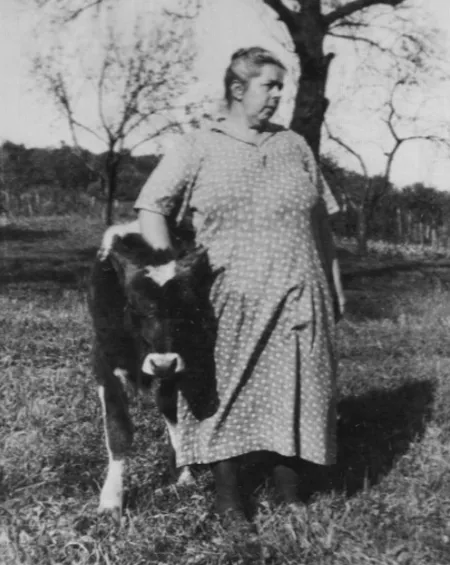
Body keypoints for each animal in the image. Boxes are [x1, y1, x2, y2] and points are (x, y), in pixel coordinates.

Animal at [89, 234, 217, 516]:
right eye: (135, 306)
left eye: (187, 308)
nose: (162, 363)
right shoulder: (106, 365)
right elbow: (118, 428)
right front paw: (111, 499)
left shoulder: (178, 368)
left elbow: (172, 414)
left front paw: (183, 474)